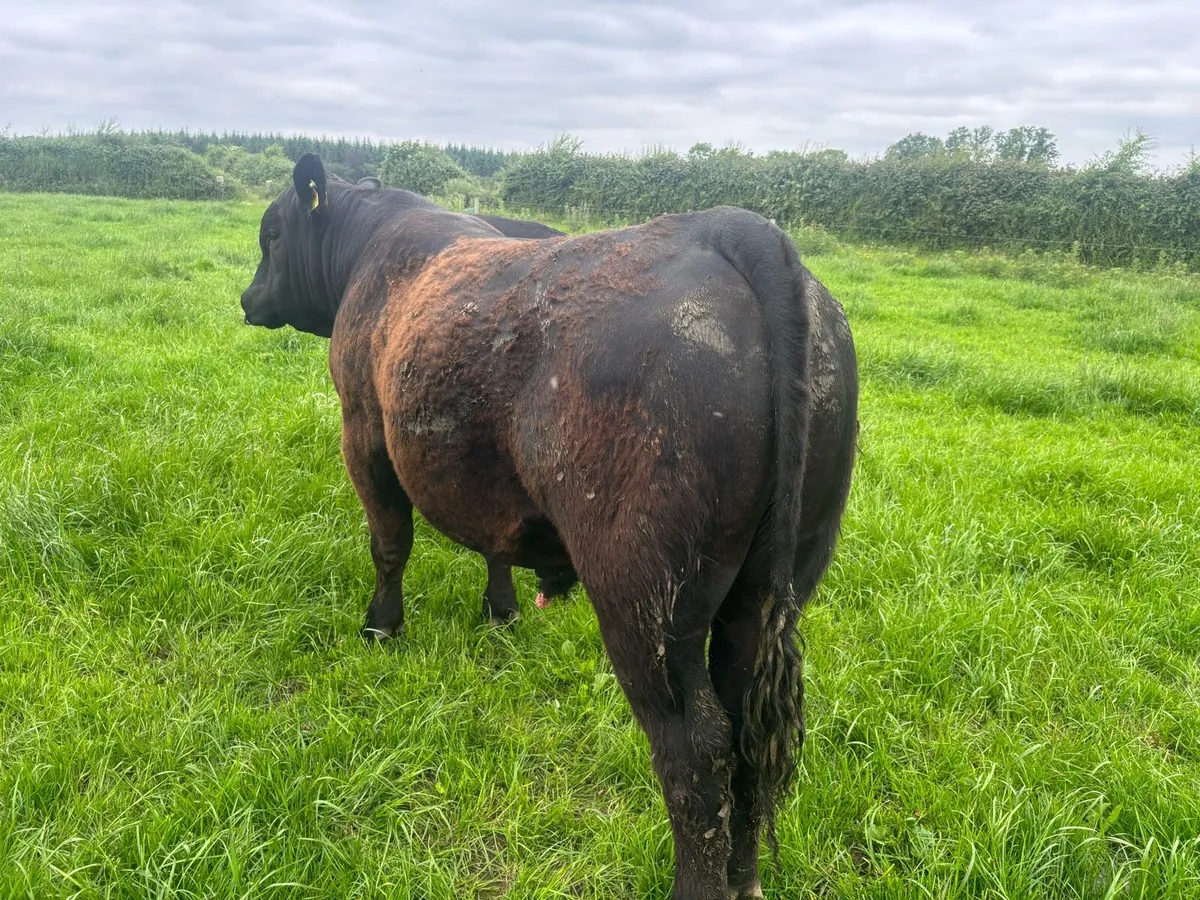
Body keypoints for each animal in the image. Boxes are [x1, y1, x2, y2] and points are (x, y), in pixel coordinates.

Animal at [241, 153, 858, 900]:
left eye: (272, 234)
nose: (247, 298)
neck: (374, 245)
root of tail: (738, 230)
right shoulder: (485, 480)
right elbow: (494, 544)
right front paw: (501, 610)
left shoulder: (363, 430)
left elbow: (390, 544)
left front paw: (381, 627)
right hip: (765, 588)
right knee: (745, 732)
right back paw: (744, 880)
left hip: (643, 593)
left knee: (695, 747)